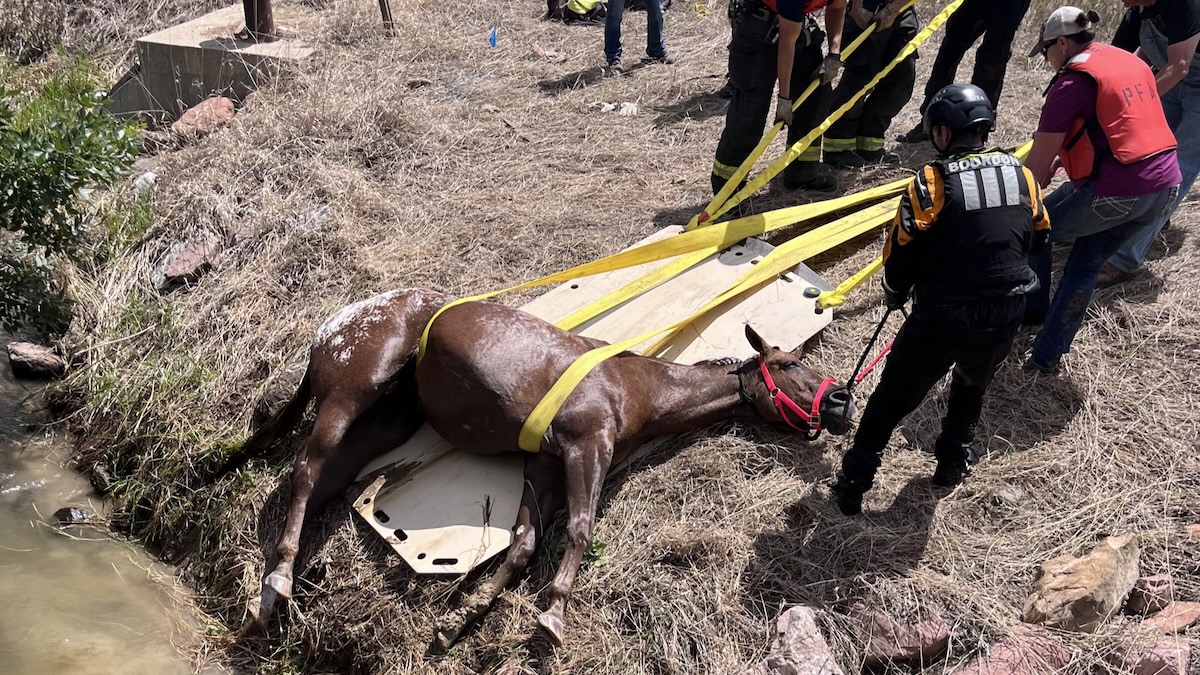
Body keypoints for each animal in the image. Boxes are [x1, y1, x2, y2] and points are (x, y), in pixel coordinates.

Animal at [219, 287, 856, 649]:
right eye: (791, 362)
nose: (842, 402)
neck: (633, 386)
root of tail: (336, 326)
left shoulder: (544, 464)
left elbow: (525, 541)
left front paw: (463, 617)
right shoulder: (585, 446)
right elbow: (578, 530)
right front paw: (551, 615)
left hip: (386, 421)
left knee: (320, 484)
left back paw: (285, 579)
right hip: (351, 394)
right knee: (306, 470)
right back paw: (276, 583)